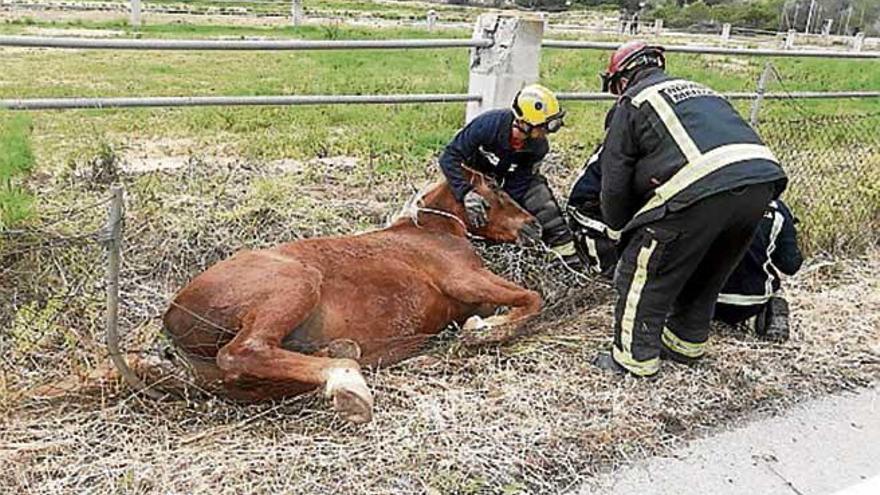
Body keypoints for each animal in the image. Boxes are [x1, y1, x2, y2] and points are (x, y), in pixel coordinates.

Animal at [161, 170, 540, 422]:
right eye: (495, 186)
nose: (534, 225)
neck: (431, 231)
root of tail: (173, 321)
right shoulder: (466, 278)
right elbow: (532, 298)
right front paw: (483, 330)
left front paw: (479, 325)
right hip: (298, 283)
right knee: (243, 352)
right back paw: (348, 383)